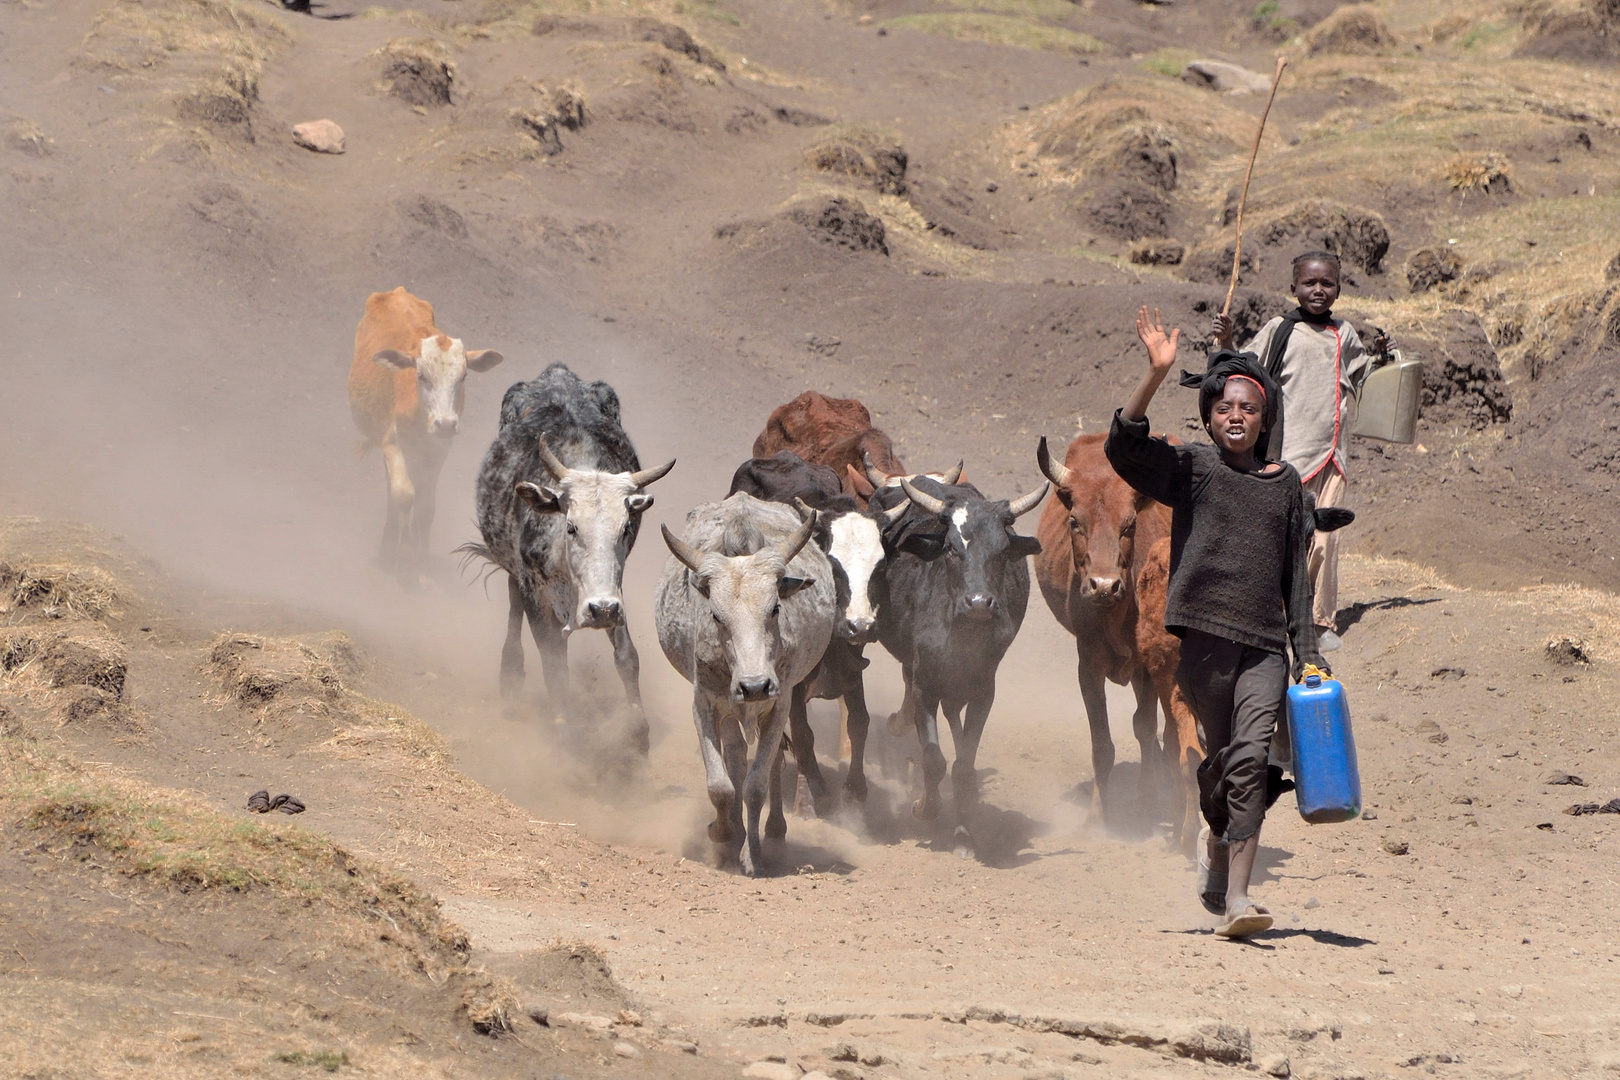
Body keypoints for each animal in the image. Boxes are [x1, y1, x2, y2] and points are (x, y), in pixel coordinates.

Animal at [463, 362, 670, 751]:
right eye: (571, 526)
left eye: (625, 528)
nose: (600, 611)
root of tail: (556, 372)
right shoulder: (536, 592)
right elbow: (554, 666)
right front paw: (565, 731)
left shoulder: (612, 592)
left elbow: (627, 657)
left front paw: (638, 729)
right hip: (516, 572)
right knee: (513, 605)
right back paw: (510, 673)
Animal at [654, 498, 835, 880]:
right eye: (716, 616)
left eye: (775, 608)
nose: (754, 686)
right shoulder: (704, 704)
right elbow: (720, 785)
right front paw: (721, 833)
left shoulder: (779, 704)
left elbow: (756, 784)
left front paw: (753, 855)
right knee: (735, 756)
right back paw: (735, 829)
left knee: (774, 760)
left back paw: (774, 832)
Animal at [881, 476, 1043, 854]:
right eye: (952, 549)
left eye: (1002, 551)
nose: (979, 603)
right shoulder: (925, 685)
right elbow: (933, 758)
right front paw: (924, 807)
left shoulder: (984, 690)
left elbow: (964, 764)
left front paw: (964, 830)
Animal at [1036, 433, 1205, 854]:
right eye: (1075, 521)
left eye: (1130, 524)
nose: (1103, 585)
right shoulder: (1088, 664)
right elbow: (1102, 746)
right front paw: (1097, 818)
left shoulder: (1148, 667)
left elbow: (1144, 727)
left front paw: (1146, 802)